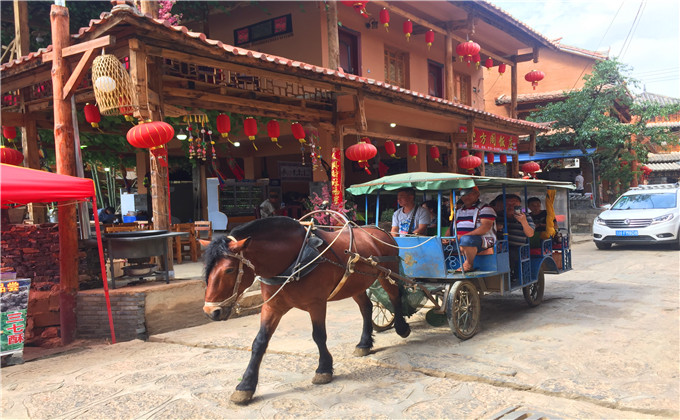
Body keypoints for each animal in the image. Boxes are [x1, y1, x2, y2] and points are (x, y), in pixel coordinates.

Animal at [202, 217, 410, 404]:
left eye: (229, 270)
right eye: (208, 269)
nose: (211, 311)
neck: (294, 259)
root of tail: (381, 231)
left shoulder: (316, 304)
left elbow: (318, 335)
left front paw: (323, 369)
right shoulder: (272, 306)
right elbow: (259, 343)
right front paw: (245, 386)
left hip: (387, 273)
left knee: (394, 297)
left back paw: (401, 327)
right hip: (354, 283)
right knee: (366, 308)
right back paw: (364, 343)